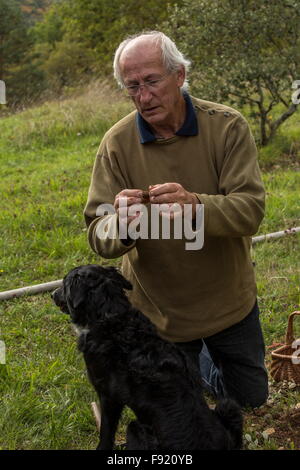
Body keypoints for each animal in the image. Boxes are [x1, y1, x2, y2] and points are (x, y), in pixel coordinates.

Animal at [52, 262, 244, 450]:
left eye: (64, 284)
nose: (52, 294)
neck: (110, 315)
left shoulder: (108, 396)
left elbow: (106, 433)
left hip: (135, 428)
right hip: (228, 406)